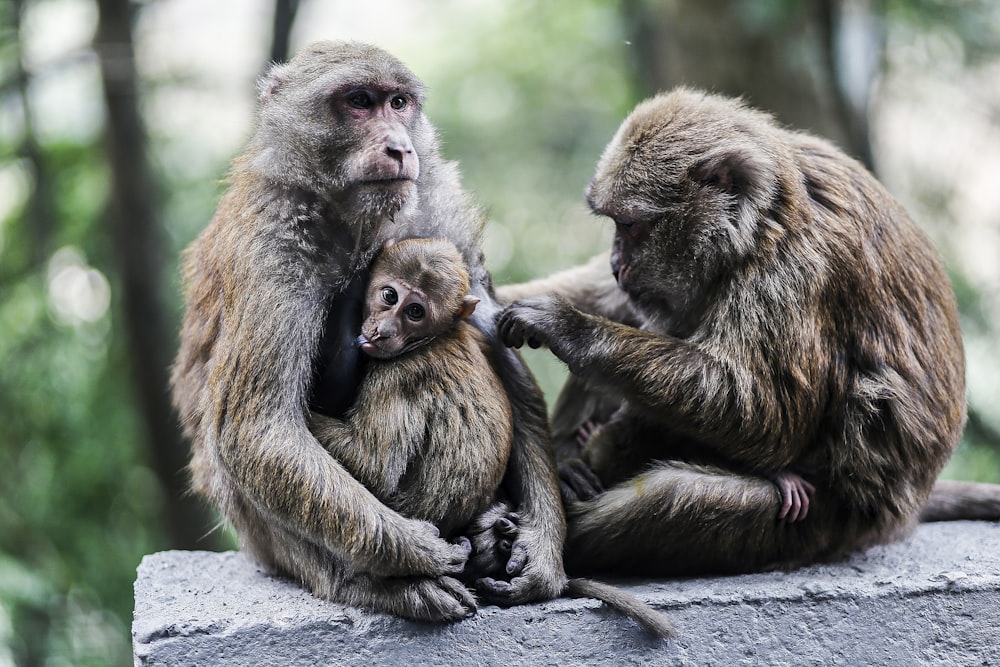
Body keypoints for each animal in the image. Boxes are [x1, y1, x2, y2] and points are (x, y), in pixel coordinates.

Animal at [170, 43, 572, 628]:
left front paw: (541, 550)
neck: (351, 216)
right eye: (359, 101)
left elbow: (507, 364)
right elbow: (256, 430)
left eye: (398, 103)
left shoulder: (440, 213)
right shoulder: (273, 245)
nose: (400, 146)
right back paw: (375, 582)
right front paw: (417, 551)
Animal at [308, 237, 676, 640]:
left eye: (415, 312)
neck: (435, 337)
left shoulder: (397, 373)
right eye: (390, 296)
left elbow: (374, 467)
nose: (383, 331)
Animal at [500, 88, 1000, 576]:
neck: (761, 222)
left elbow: (767, 414)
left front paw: (568, 327)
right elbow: (618, 302)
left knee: (676, 497)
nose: (615, 263)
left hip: (828, 523)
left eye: (630, 225)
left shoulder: (794, 271)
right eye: (616, 227)